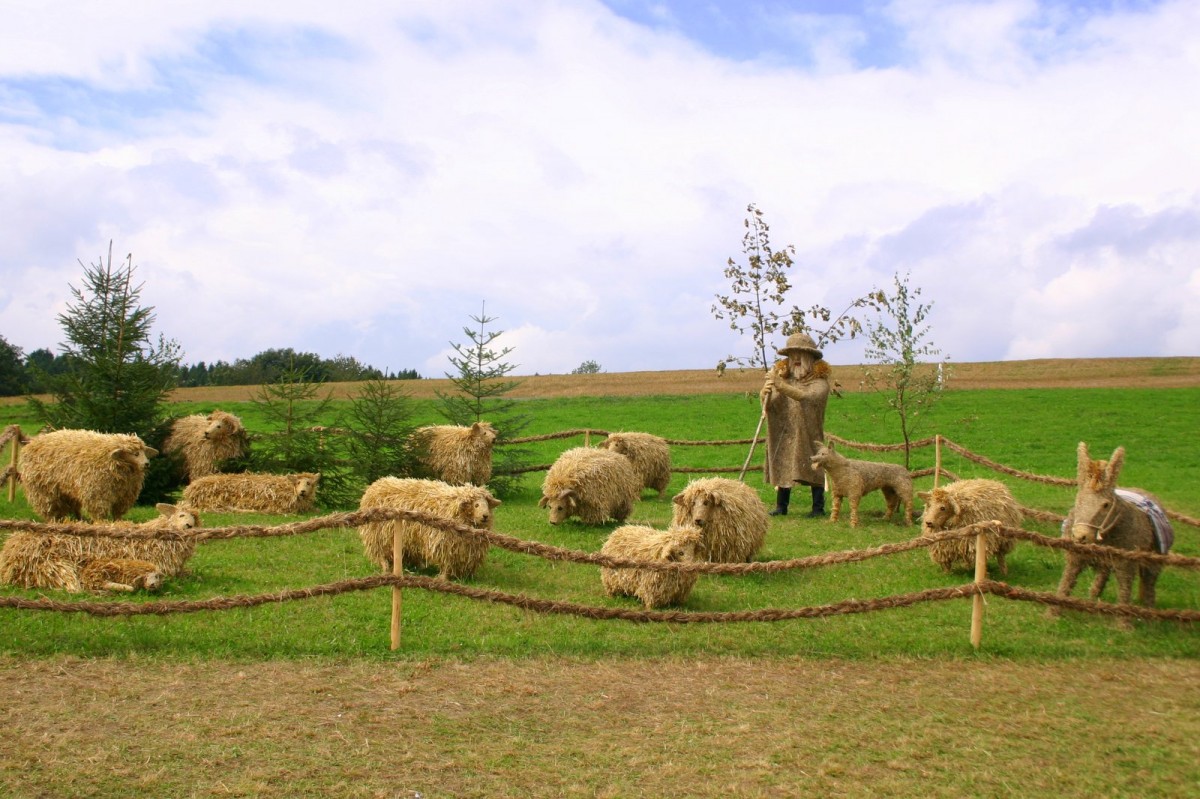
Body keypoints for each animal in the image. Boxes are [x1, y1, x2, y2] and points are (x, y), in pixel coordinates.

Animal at [20, 427, 159, 520]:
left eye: (144, 452)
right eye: (135, 454)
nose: (146, 464)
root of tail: (32, 443)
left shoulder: (124, 496)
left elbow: (117, 514)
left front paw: (119, 523)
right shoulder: (97, 495)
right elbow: (100, 514)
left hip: (67, 491)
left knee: (72, 508)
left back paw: (78, 520)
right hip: (43, 491)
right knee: (49, 510)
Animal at [360, 472, 501, 578]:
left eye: (487, 505)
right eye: (476, 505)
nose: (485, 516)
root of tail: (376, 484)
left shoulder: (468, 550)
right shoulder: (445, 544)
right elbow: (446, 563)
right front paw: (443, 578)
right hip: (377, 536)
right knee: (380, 553)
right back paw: (386, 568)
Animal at [1051, 441, 1171, 623]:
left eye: (1106, 505)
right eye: (1078, 499)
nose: (1080, 536)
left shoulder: (1125, 564)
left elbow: (1124, 592)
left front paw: (1124, 625)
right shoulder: (1075, 558)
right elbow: (1065, 584)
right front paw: (1052, 614)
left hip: (1154, 558)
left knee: (1149, 583)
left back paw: (1150, 614)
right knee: (1103, 574)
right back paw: (1093, 597)